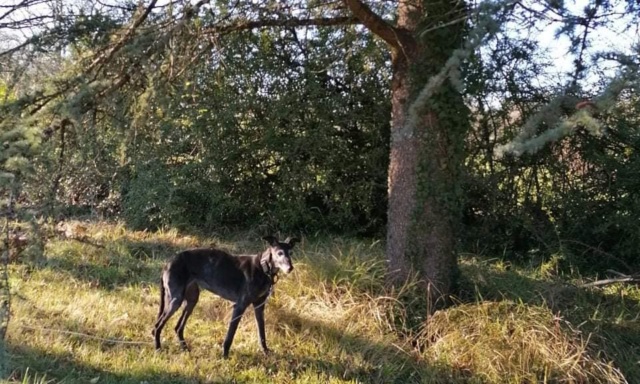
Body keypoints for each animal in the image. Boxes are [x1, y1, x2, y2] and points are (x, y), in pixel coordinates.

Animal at [153, 236, 300, 358]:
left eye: (291, 253)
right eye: (279, 253)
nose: (290, 268)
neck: (263, 267)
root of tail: (168, 263)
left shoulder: (259, 306)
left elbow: (261, 332)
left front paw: (265, 351)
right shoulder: (239, 306)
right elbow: (230, 334)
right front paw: (224, 355)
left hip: (192, 300)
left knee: (178, 327)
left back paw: (185, 349)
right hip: (175, 300)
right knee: (157, 326)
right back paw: (158, 349)